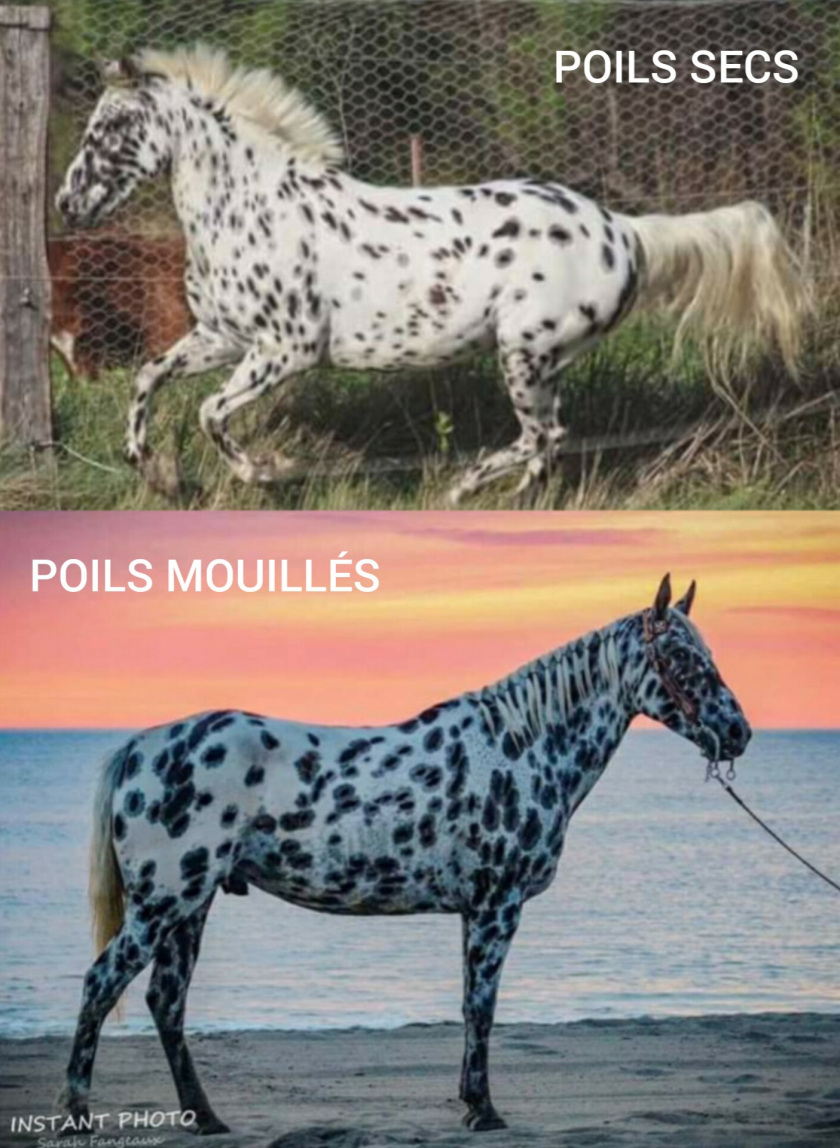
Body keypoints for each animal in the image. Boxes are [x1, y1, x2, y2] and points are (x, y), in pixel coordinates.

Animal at [55, 46, 803, 503]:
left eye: (113, 127)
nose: (68, 203)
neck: (254, 205)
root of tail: (623, 229)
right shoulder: (222, 337)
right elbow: (149, 377)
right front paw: (156, 473)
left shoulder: (287, 350)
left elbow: (212, 412)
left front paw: (265, 472)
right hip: (544, 361)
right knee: (548, 441)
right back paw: (502, 499)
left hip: (524, 353)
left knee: (542, 437)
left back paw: (467, 490)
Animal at [57, 574, 750, 1134]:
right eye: (680, 655)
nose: (738, 732)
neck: (520, 747)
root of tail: (143, 746)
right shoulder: (498, 906)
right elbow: (481, 1006)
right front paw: (485, 1111)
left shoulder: (477, 910)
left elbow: (472, 1005)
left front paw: (472, 1102)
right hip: (163, 903)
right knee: (102, 984)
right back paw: (76, 1116)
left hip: (189, 907)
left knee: (165, 1001)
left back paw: (205, 1117)